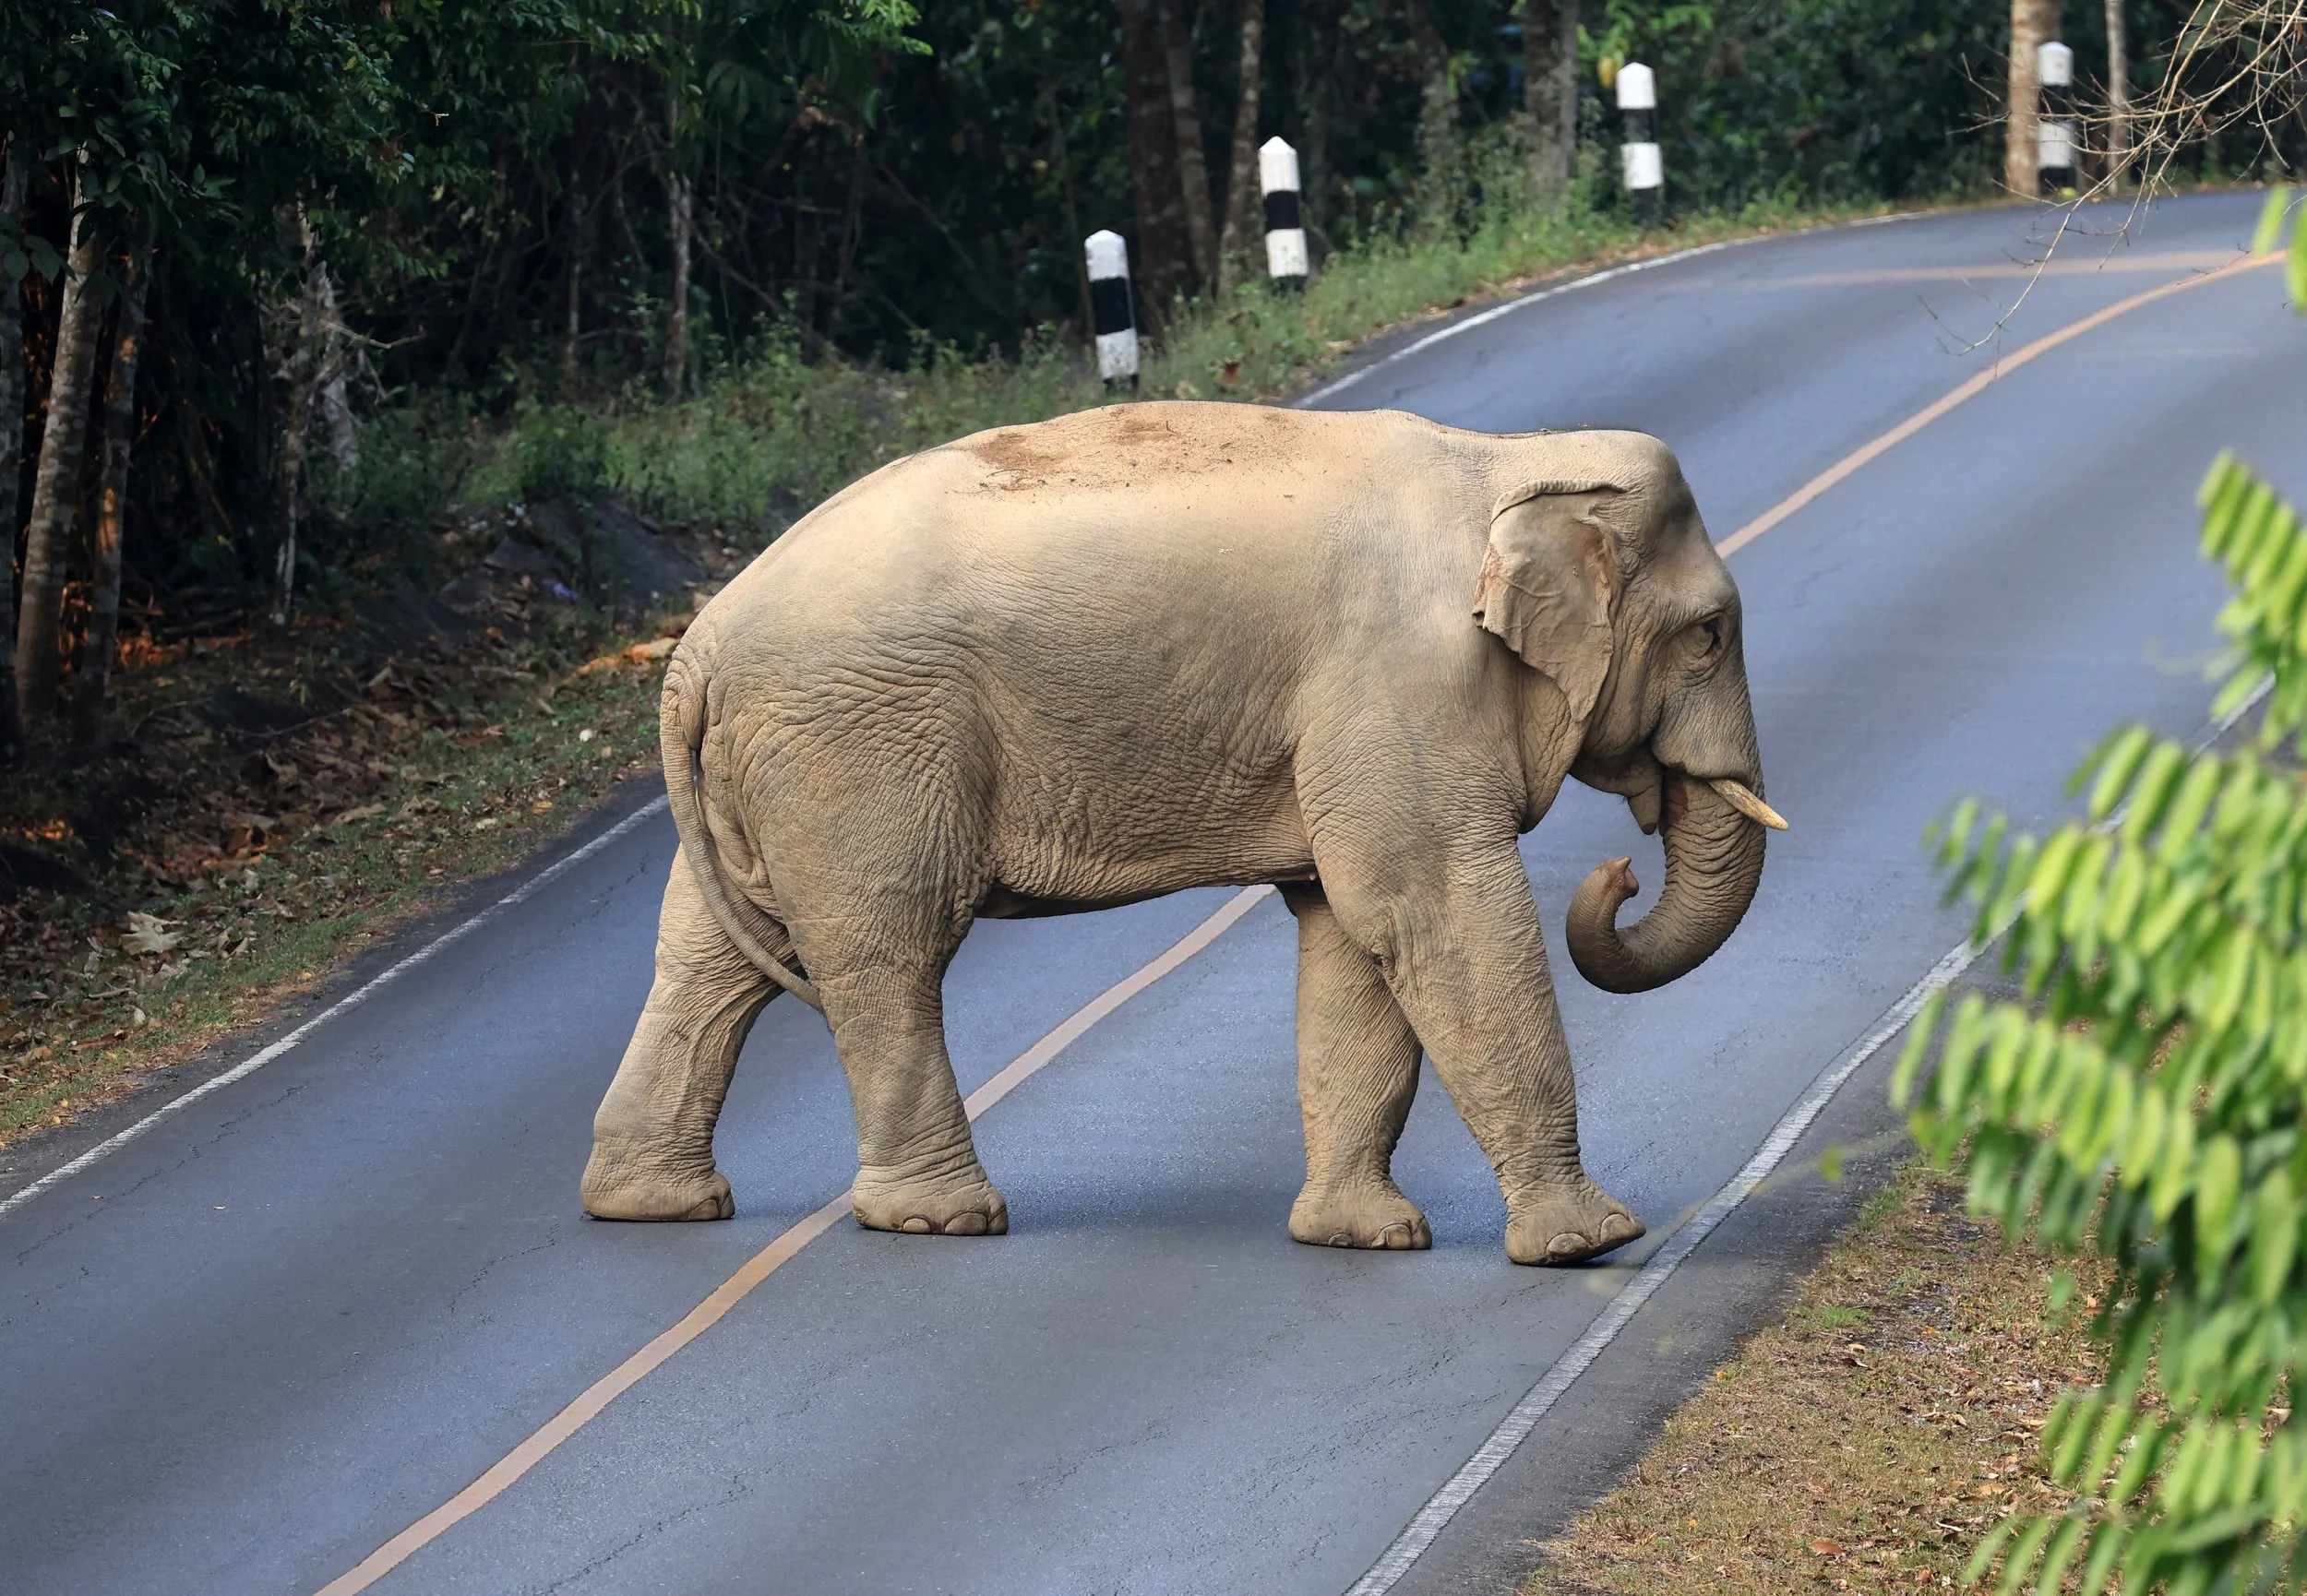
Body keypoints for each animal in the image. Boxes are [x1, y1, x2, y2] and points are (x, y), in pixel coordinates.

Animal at [579, 402, 1781, 1266]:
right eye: (1710, 634)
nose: (1620, 868)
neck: (1509, 460)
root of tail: (696, 645)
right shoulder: (1400, 681)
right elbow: (1429, 908)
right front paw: (1591, 1242)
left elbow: (1348, 931)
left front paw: (1361, 1236)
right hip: (861, 749)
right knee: (887, 949)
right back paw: (940, 1218)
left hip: (772, 768)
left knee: (706, 956)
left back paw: (651, 1200)